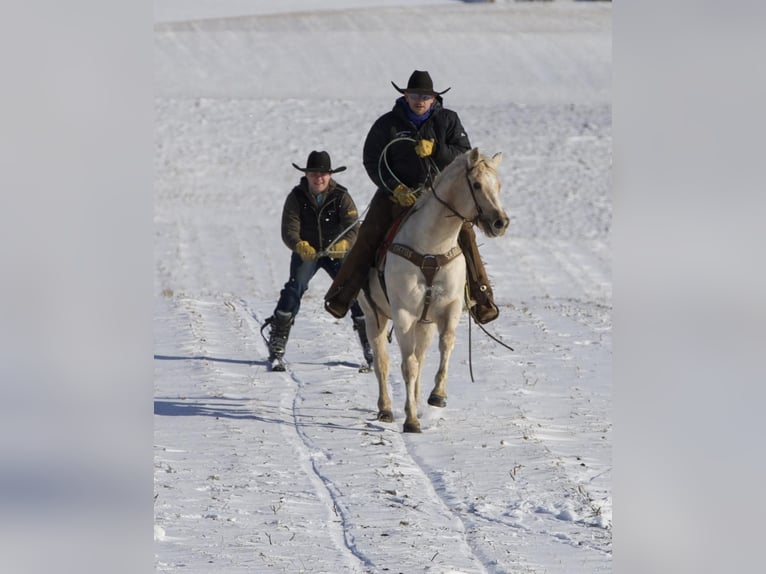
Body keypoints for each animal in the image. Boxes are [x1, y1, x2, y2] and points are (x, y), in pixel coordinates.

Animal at [360, 146, 510, 434]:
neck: (431, 247)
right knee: (383, 363)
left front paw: (437, 396)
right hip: (375, 317)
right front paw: (411, 421)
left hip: (425, 324)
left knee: (420, 358)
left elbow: (446, 345)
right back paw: (386, 409)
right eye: (476, 184)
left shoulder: (448, 309)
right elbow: (407, 366)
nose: (500, 222)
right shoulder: (404, 314)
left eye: (498, 185)